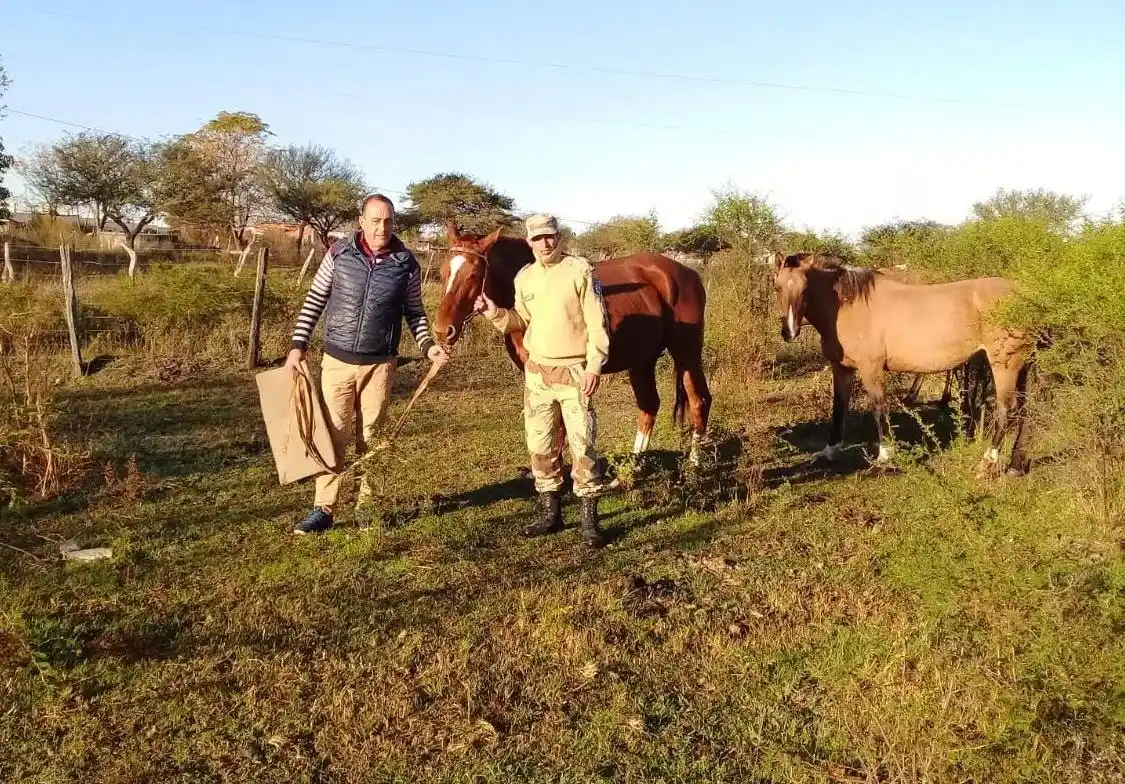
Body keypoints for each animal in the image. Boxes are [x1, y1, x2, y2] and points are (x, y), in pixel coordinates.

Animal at [433, 224, 712, 463]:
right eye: (444, 272)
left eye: (474, 274)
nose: (442, 330)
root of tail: (689, 274)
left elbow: (560, 430)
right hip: (642, 359)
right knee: (649, 405)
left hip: (686, 352)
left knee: (699, 400)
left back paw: (694, 465)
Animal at [771, 251, 1036, 476]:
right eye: (777, 286)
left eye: (805, 288)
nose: (790, 332)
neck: (849, 306)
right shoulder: (842, 368)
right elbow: (838, 408)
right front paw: (829, 452)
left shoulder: (871, 369)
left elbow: (879, 409)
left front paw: (884, 457)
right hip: (1022, 365)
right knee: (1024, 410)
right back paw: (1015, 465)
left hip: (1005, 365)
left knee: (1006, 410)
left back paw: (987, 463)